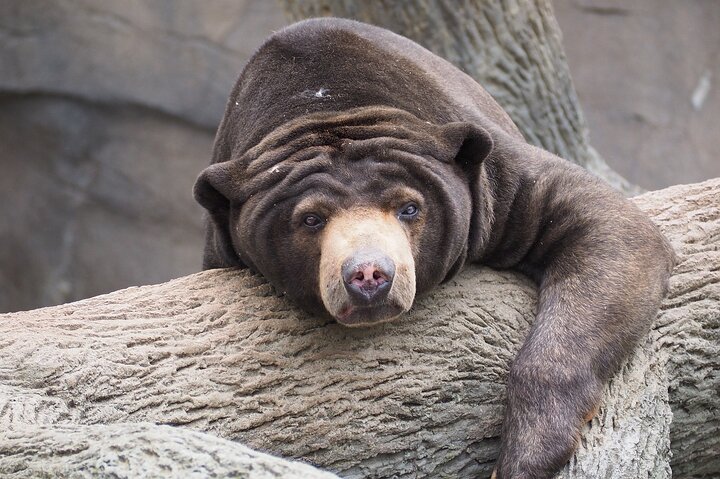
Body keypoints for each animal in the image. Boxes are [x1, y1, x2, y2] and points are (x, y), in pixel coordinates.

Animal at [193, 18, 674, 479]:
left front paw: (524, 457)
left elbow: (612, 226)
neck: (327, 103)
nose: (369, 275)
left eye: (409, 207)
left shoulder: (494, 179)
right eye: (311, 219)